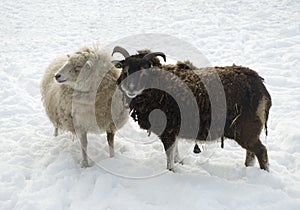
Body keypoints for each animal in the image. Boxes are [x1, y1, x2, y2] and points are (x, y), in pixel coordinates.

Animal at [112, 46, 272, 171]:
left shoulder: (167, 131)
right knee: (251, 153)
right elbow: (175, 152)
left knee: (261, 151)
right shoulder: (174, 129)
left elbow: (169, 157)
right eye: (126, 71)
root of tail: (260, 85)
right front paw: (180, 163)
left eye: (143, 71)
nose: (131, 88)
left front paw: (171, 171)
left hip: (246, 129)